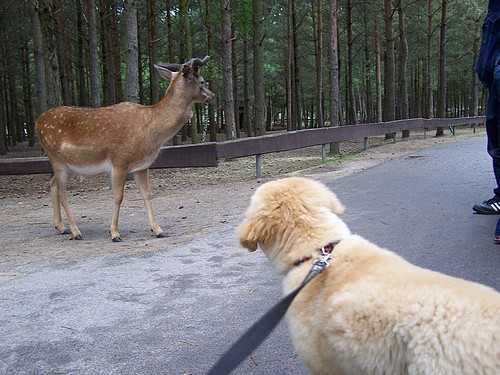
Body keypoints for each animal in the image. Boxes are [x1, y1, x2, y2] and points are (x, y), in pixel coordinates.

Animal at [36, 56, 214, 244]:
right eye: (202, 81)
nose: (212, 95)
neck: (150, 131)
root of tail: (37, 122)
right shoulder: (119, 162)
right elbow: (118, 197)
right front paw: (115, 233)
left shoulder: (141, 166)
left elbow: (147, 194)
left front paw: (158, 230)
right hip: (55, 157)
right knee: (62, 192)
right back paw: (76, 231)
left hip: (71, 165)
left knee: (53, 183)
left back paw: (61, 227)